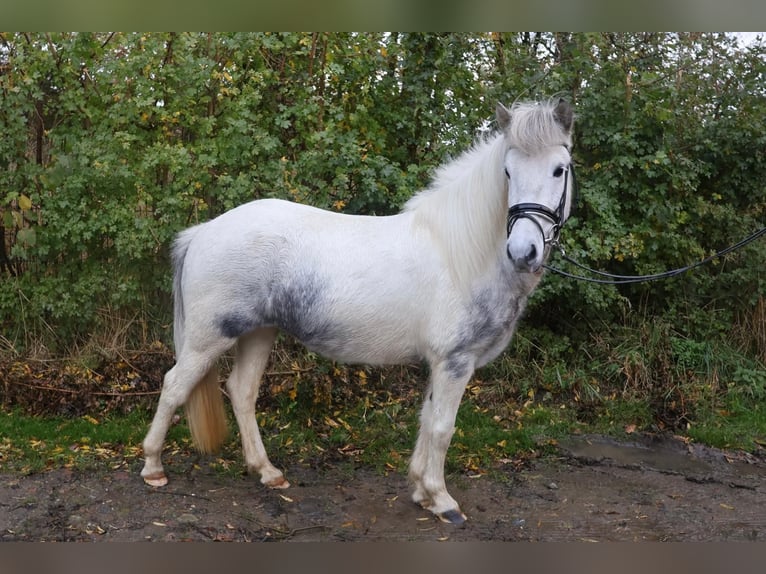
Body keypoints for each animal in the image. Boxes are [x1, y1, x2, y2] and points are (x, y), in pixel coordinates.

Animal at [140, 98, 576, 524]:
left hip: (258, 333)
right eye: (507, 171)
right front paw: (442, 500)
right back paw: (153, 467)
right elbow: (442, 428)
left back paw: (267, 471)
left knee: (242, 392)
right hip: (208, 338)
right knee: (174, 386)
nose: (524, 252)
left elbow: (426, 420)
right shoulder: (455, 361)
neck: (462, 252)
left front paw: (421, 491)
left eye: (560, 169)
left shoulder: (439, 363)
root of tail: (203, 231)